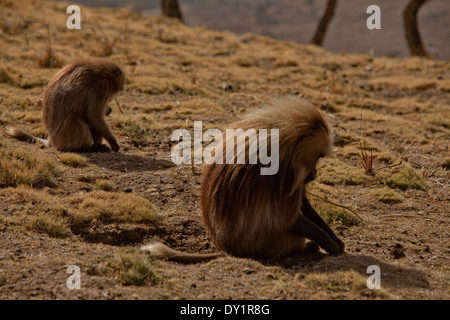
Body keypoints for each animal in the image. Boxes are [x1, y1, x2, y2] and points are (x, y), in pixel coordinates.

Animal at [142, 97, 346, 262]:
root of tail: (226, 248)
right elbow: (288, 219)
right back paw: (305, 248)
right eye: (319, 156)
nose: (315, 173)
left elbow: (302, 201)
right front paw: (329, 243)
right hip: (264, 243)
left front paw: (336, 239)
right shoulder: (285, 173)